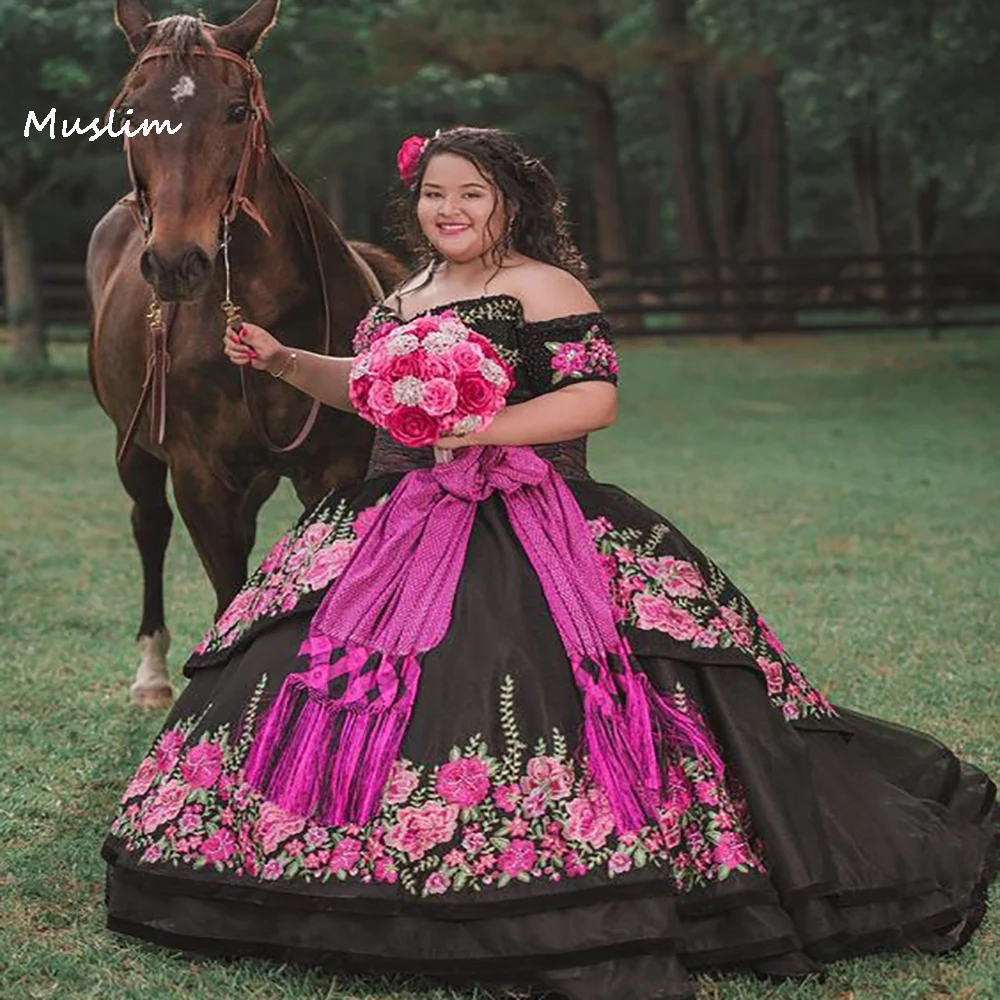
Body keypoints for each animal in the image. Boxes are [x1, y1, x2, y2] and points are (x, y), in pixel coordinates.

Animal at [87, 0, 406, 712]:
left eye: (237, 111)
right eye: (131, 111)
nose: (176, 263)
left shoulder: (333, 471)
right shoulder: (200, 476)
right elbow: (228, 590)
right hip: (129, 442)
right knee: (149, 525)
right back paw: (151, 673)